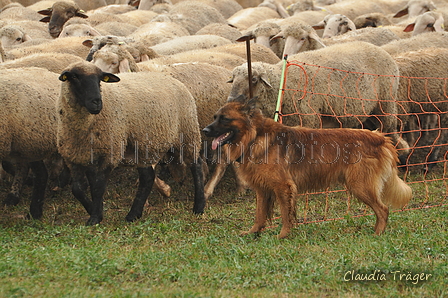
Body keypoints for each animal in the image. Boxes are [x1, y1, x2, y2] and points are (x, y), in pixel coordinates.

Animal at [54, 60, 206, 225]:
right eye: (75, 77)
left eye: (100, 79)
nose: (97, 103)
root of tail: (175, 81)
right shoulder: (74, 158)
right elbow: (78, 188)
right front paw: (92, 209)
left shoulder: (110, 153)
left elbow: (98, 187)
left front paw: (95, 217)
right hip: (142, 147)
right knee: (147, 177)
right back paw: (133, 214)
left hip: (187, 134)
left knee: (196, 166)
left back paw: (199, 207)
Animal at [203, 96, 412, 239]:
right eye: (214, 117)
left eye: (224, 119)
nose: (204, 130)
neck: (255, 136)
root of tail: (380, 137)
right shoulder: (262, 189)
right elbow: (259, 214)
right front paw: (253, 232)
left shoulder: (283, 186)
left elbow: (286, 214)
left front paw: (283, 235)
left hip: (360, 186)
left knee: (383, 209)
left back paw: (377, 233)